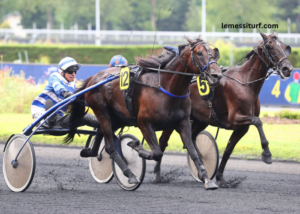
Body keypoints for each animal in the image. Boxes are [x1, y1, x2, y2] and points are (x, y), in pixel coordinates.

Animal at [65, 34, 223, 189]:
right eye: (199, 53)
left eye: (214, 53)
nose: (216, 75)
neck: (167, 88)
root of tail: (94, 78)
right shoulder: (144, 123)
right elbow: (157, 152)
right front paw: (136, 146)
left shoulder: (183, 123)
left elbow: (193, 151)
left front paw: (207, 178)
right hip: (102, 112)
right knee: (111, 147)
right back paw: (130, 174)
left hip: (118, 117)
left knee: (101, 134)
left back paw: (90, 152)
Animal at [157, 29, 292, 186]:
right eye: (270, 46)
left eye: (284, 47)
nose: (287, 68)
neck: (245, 82)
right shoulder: (235, 118)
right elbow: (258, 121)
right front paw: (267, 153)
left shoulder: (242, 127)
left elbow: (228, 150)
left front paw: (220, 177)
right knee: (163, 141)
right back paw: (158, 175)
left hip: (200, 119)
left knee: (192, 137)